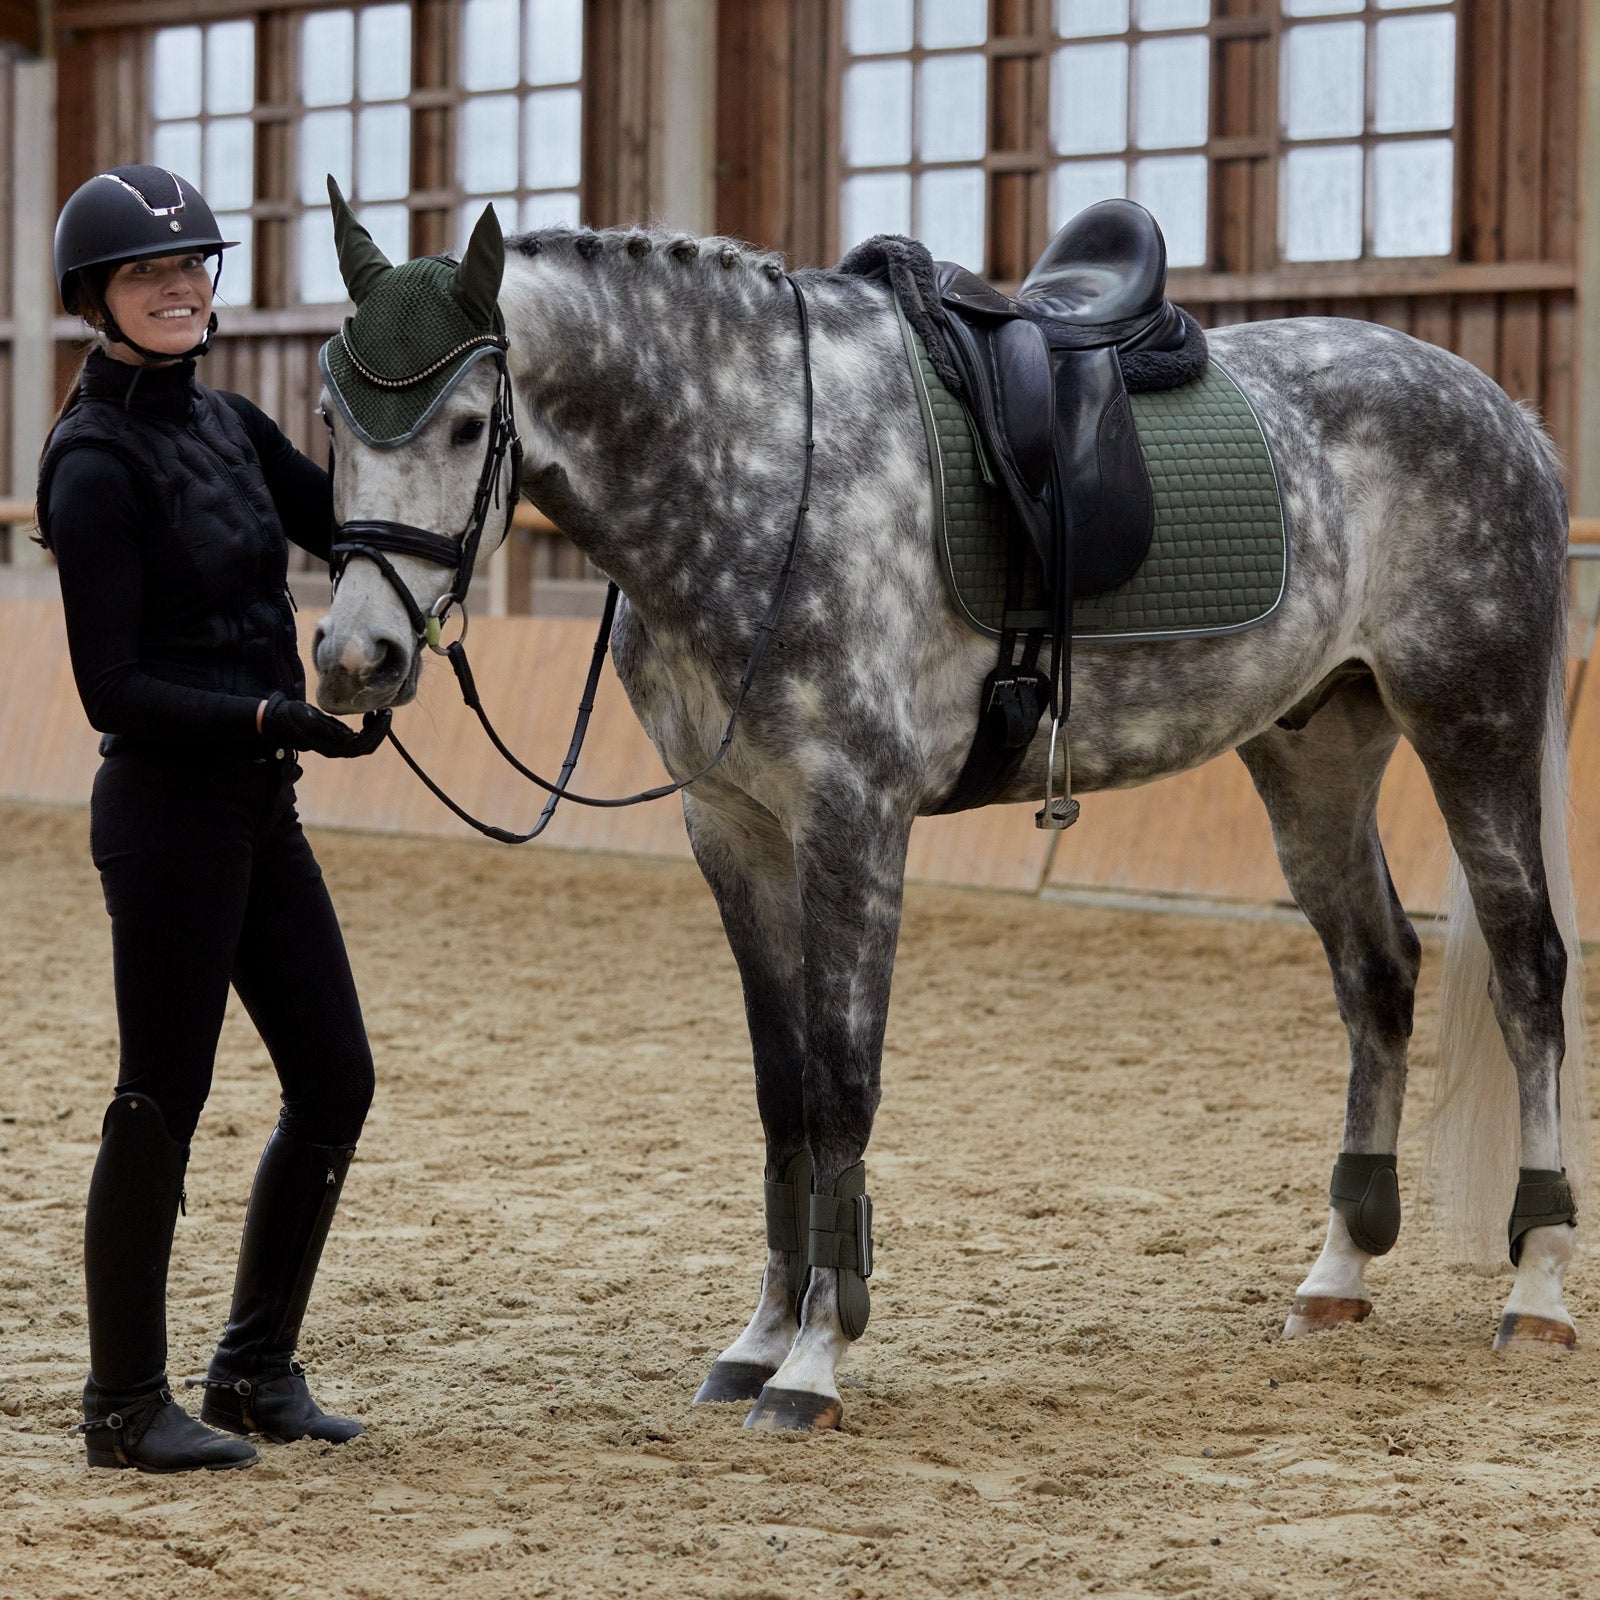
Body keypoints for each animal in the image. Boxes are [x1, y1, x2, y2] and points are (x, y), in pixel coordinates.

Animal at [309, 187, 1587, 1433]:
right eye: (330, 420)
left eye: (466, 423)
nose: (355, 658)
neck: (761, 463)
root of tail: (1503, 412)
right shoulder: (732, 828)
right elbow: (781, 1095)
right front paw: (758, 1340)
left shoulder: (852, 821)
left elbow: (841, 1088)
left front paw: (813, 1361)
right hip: (1313, 749)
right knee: (1375, 975)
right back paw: (1336, 1275)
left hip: (1473, 726)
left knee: (1526, 972)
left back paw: (1536, 1288)